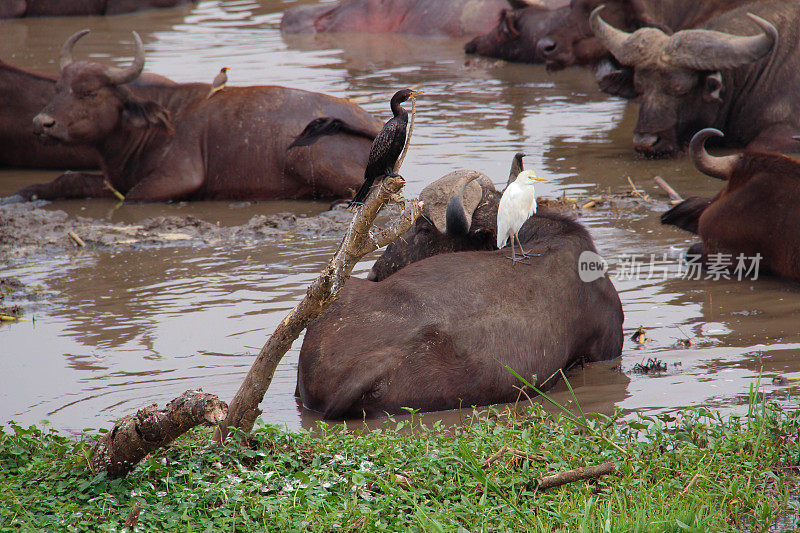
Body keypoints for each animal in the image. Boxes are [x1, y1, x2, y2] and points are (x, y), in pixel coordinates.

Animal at [18, 31, 382, 202]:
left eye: (90, 92)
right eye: (58, 89)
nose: (41, 124)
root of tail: (374, 123)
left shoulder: (176, 179)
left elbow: (132, 196)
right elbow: (69, 179)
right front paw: (23, 193)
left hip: (307, 157)